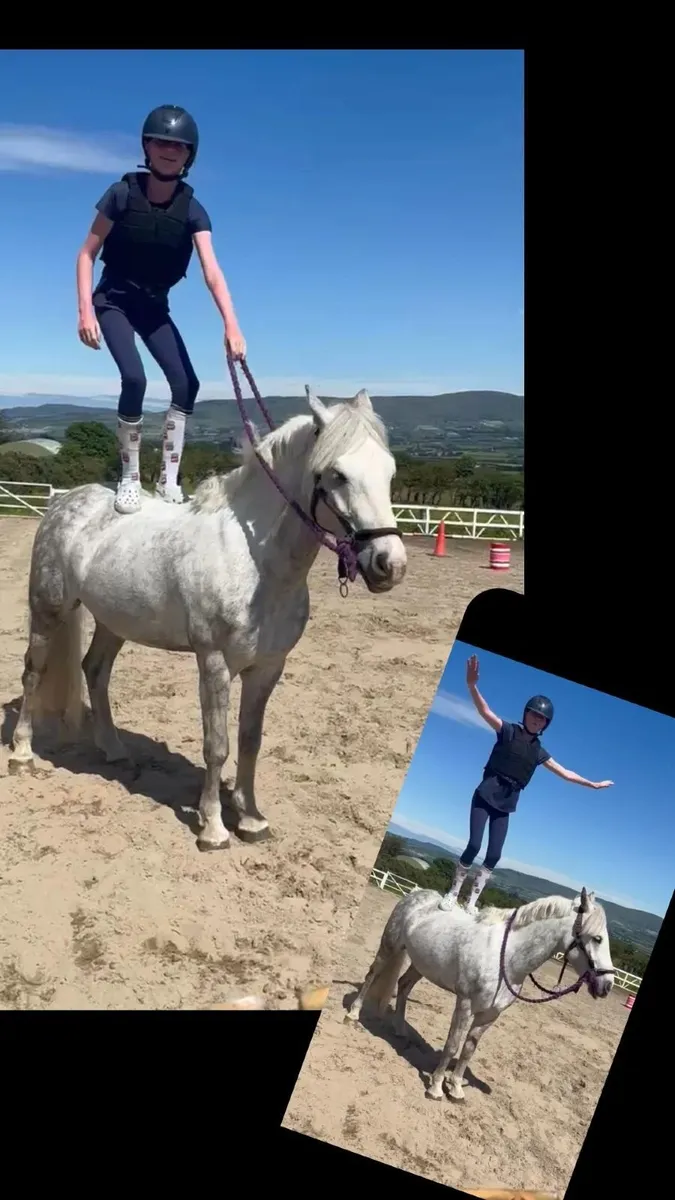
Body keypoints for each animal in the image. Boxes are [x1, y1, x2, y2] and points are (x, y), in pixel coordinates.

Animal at [6, 387, 407, 850]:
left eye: (389, 471)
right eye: (337, 474)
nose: (390, 565)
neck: (255, 561)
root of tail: (63, 502)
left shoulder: (267, 668)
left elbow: (250, 741)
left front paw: (251, 819)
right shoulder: (215, 664)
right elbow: (217, 745)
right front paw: (213, 827)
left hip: (114, 621)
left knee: (95, 670)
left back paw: (114, 749)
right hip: (48, 609)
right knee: (34, 672)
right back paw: (21, 754)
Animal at [344, 886, 615, 1101]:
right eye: (597, 938)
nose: (607, 985)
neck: (505, 957)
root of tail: (415, 895)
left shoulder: (490, 1015)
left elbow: (468, 1050)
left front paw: (455, 1088)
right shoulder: (465, 1004)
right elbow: (453, 1045)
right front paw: (436, 1088)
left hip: (420, 965)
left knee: (403, 985)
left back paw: (400, 1029)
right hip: (390, 946)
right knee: (372, 976)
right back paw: (353, 1014)